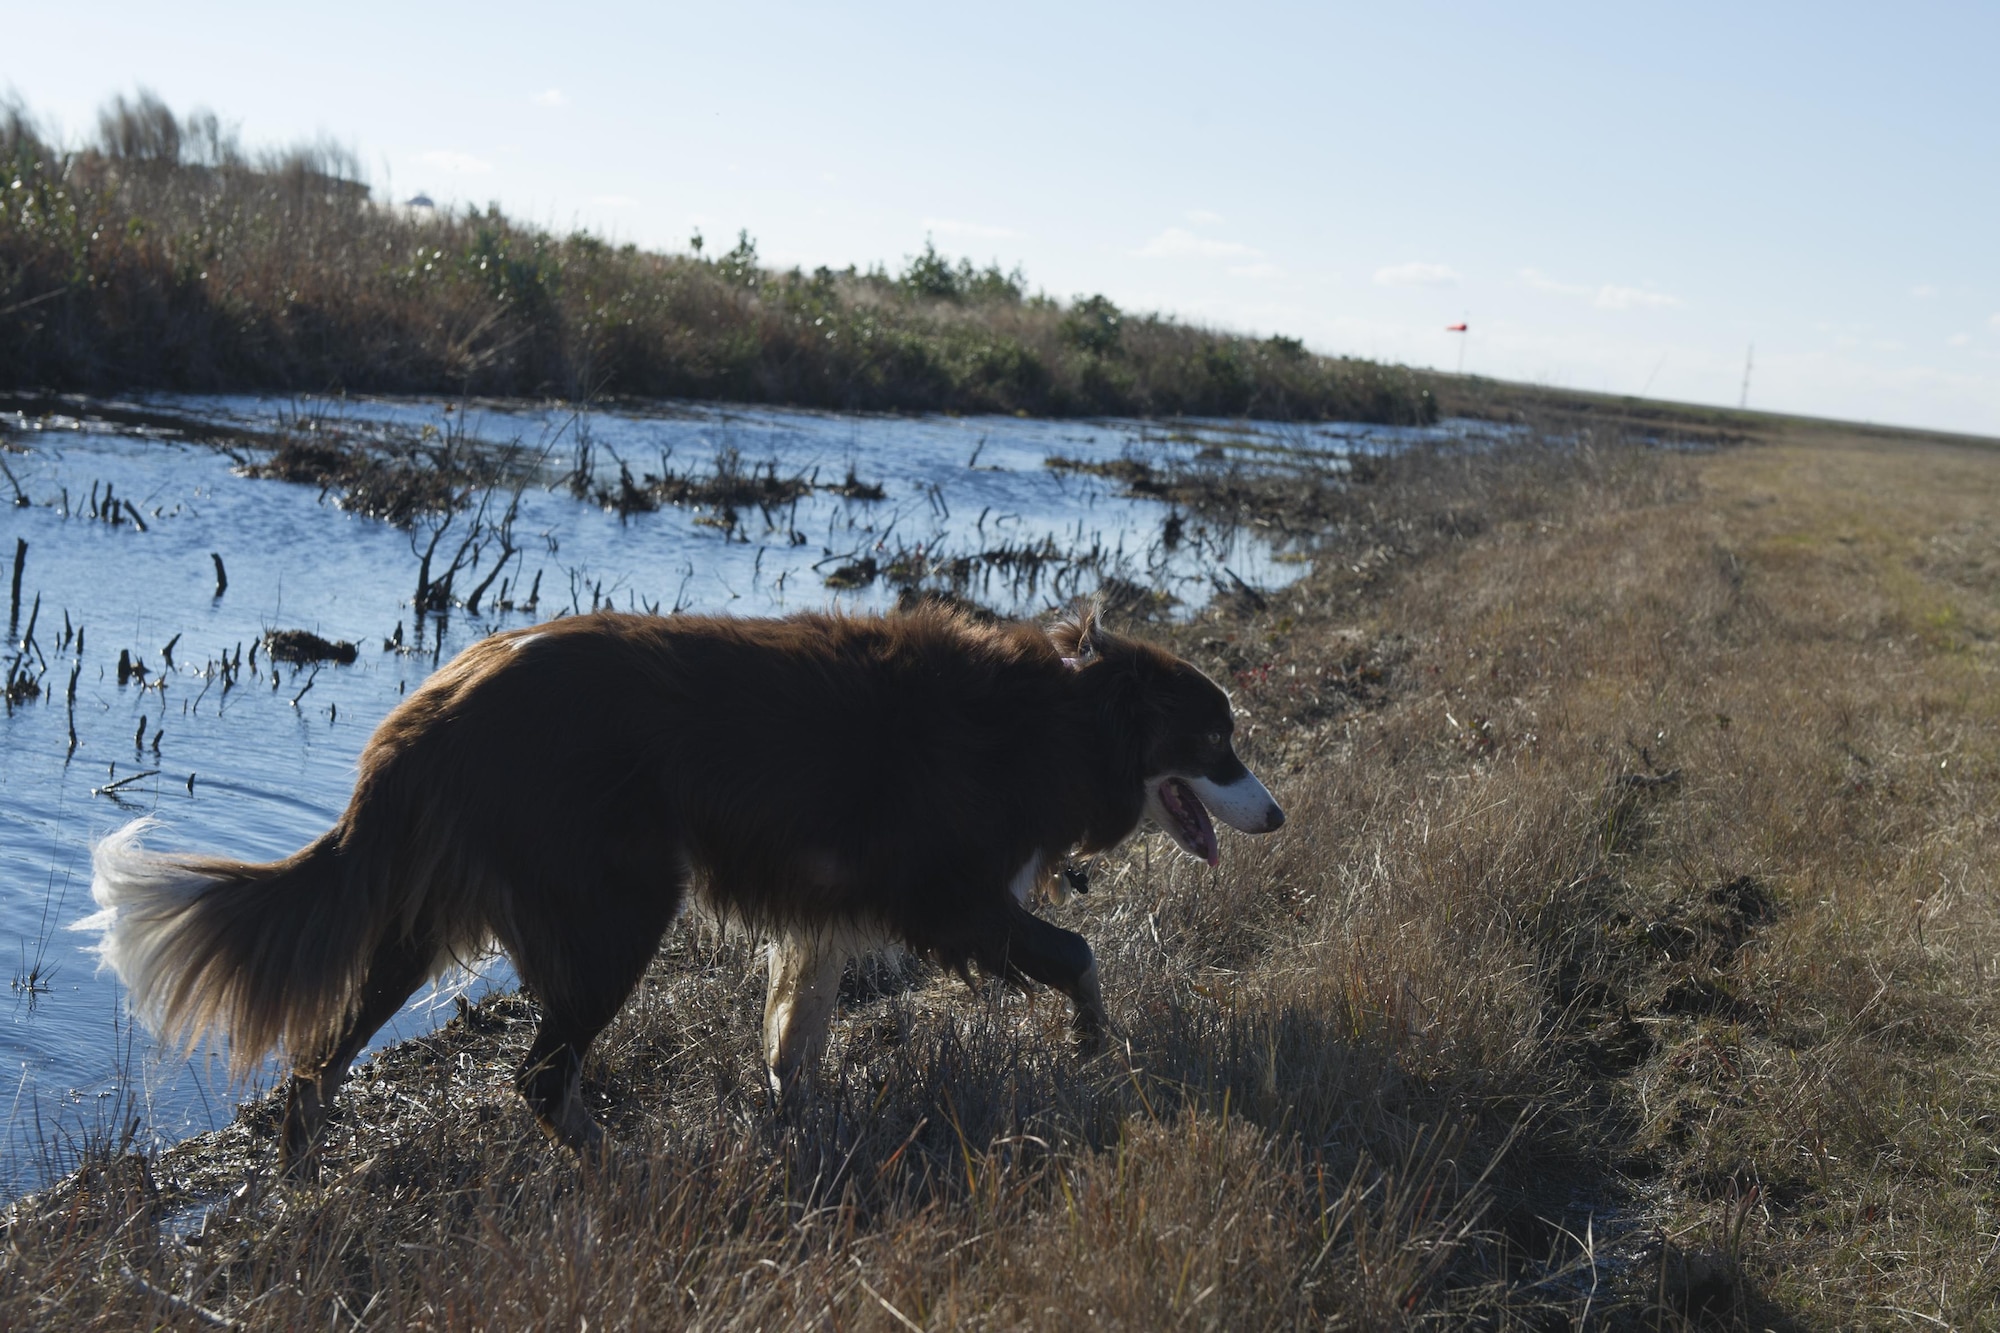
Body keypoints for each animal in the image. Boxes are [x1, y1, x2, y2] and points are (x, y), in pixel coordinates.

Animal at [78, 600, 1280, 1160]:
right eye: (1217, 742)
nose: (1275, 813)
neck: (1067, 713)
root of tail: (441, 700)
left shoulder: (828, 913)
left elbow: (797, 1035)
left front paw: (802, 1122)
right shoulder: (953, 897)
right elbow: (1077, 952)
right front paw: (1094, 1047)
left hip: (424, 919)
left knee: (319, 1064)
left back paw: (304, 1181)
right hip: (617, 909)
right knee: (536, 1073)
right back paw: (621, 1165)